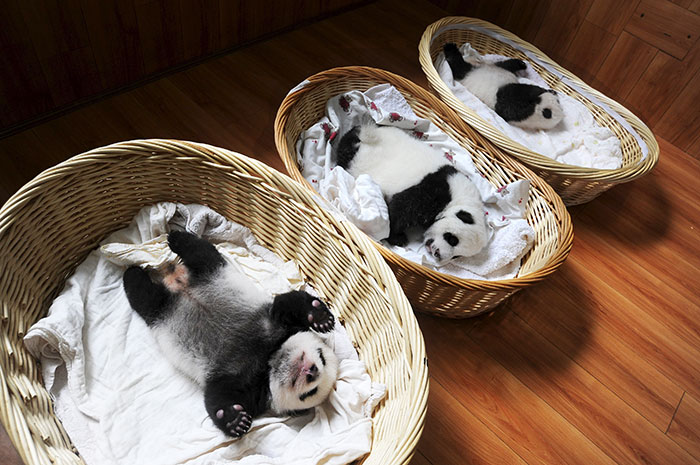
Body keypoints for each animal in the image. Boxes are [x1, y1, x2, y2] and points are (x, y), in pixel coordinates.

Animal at [122, 230, 339, 438]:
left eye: (310, 393)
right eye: (321, 356)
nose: (312, 371)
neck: (269, 358)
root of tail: (177, 283)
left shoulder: (248, 385)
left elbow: (218, 394)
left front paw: (235, 420)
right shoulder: (274, 324)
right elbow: (288, 303)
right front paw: (320, 316)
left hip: (162, 308)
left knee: (146, 297)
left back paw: (135, 272)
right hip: (213, 272)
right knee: (200, 251)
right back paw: (171, 241)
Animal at [336, 124, 488, 263]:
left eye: (457, 256)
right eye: (451, 239)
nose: (437, 253)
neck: (461, 200)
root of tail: (359, 132)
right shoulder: (435, 190)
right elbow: (403, 209)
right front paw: (397, 237)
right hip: (358, 157)